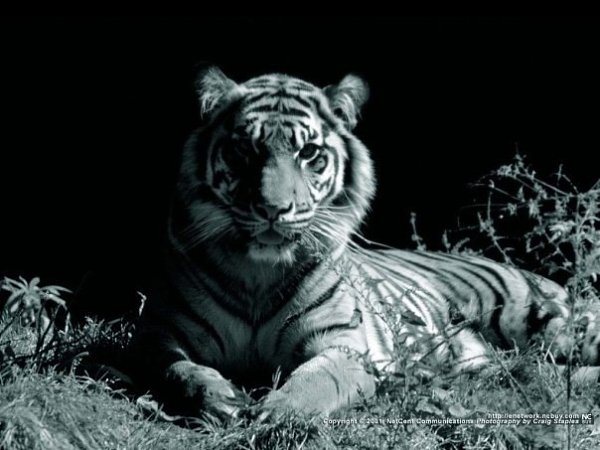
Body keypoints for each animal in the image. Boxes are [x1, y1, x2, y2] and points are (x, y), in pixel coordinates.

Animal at [130, 67, 600, 421]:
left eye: (309, 153)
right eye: (245, 150)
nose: (273, 209)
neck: (258, 273)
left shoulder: (344, 345)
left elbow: (318, 380)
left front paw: (279, 412)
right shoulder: (158, 334)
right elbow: (179, 371)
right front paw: (220, 397)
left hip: (548, 323)